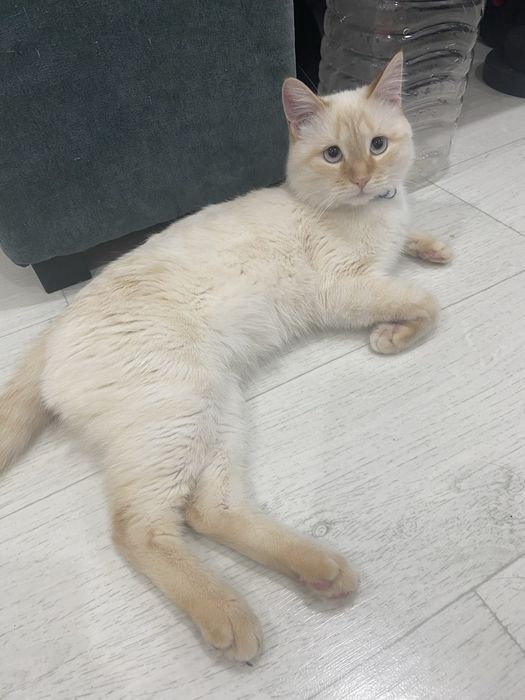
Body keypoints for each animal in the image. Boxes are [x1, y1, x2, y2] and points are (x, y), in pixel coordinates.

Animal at [0, 52, 451, 662]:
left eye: (378, 146)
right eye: (334, 154)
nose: (363, 179)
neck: (361, 211)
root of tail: (52, 331)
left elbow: (412, 249)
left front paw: (432, 248)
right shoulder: (345, 289)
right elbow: (426, 304)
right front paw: (390, 335)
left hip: (218, 410)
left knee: (207, 511)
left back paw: (319, 570)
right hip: (181, 410)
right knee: (138, 528)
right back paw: (228, 615)